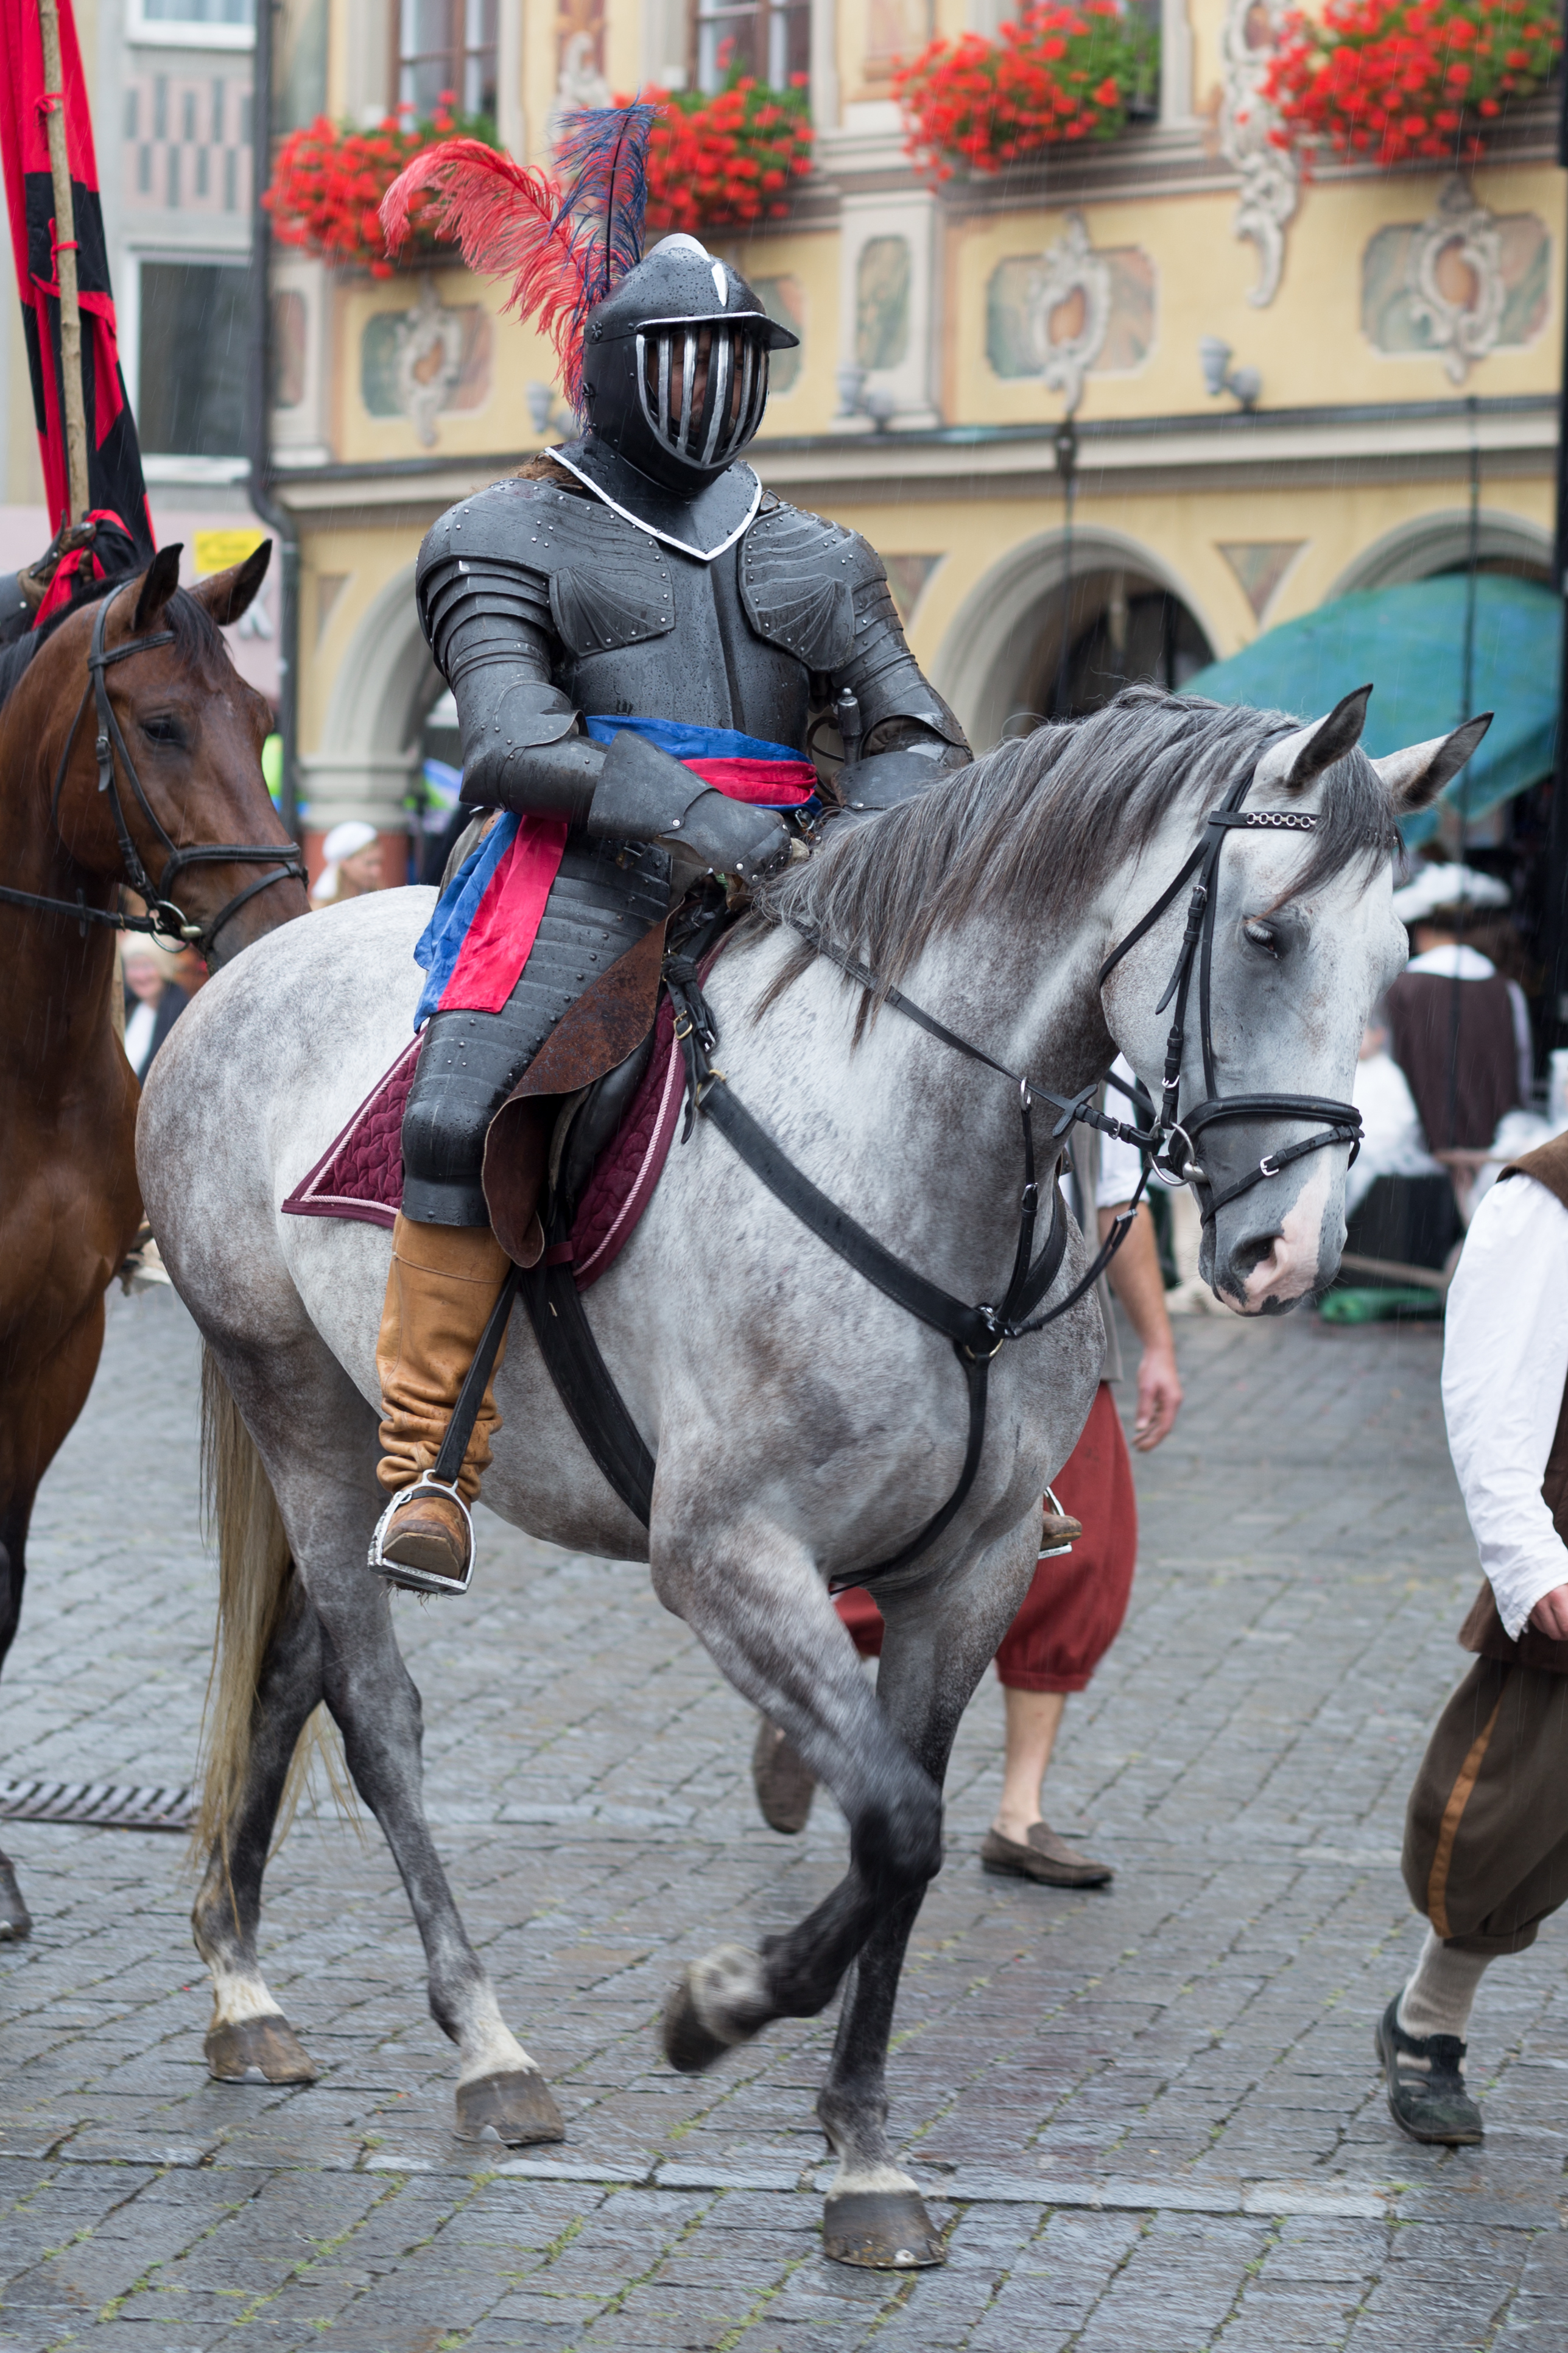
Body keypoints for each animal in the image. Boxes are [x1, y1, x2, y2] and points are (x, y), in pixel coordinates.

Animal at [138, 682, 1485, 2259]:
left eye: (1392, 958)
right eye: (1268, 933)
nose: (1291, 1252)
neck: (911, 1145)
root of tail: (243, 968)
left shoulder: (964, 1576)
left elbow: (908, 1828)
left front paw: (859, 2145)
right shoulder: (726, 1559)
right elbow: (896, 1825)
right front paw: (719, 2007)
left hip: (344, 1431)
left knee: (289, 1671)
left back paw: (241, 1979)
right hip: (293, 1400)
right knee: (376, 1708)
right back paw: (484, 2043)